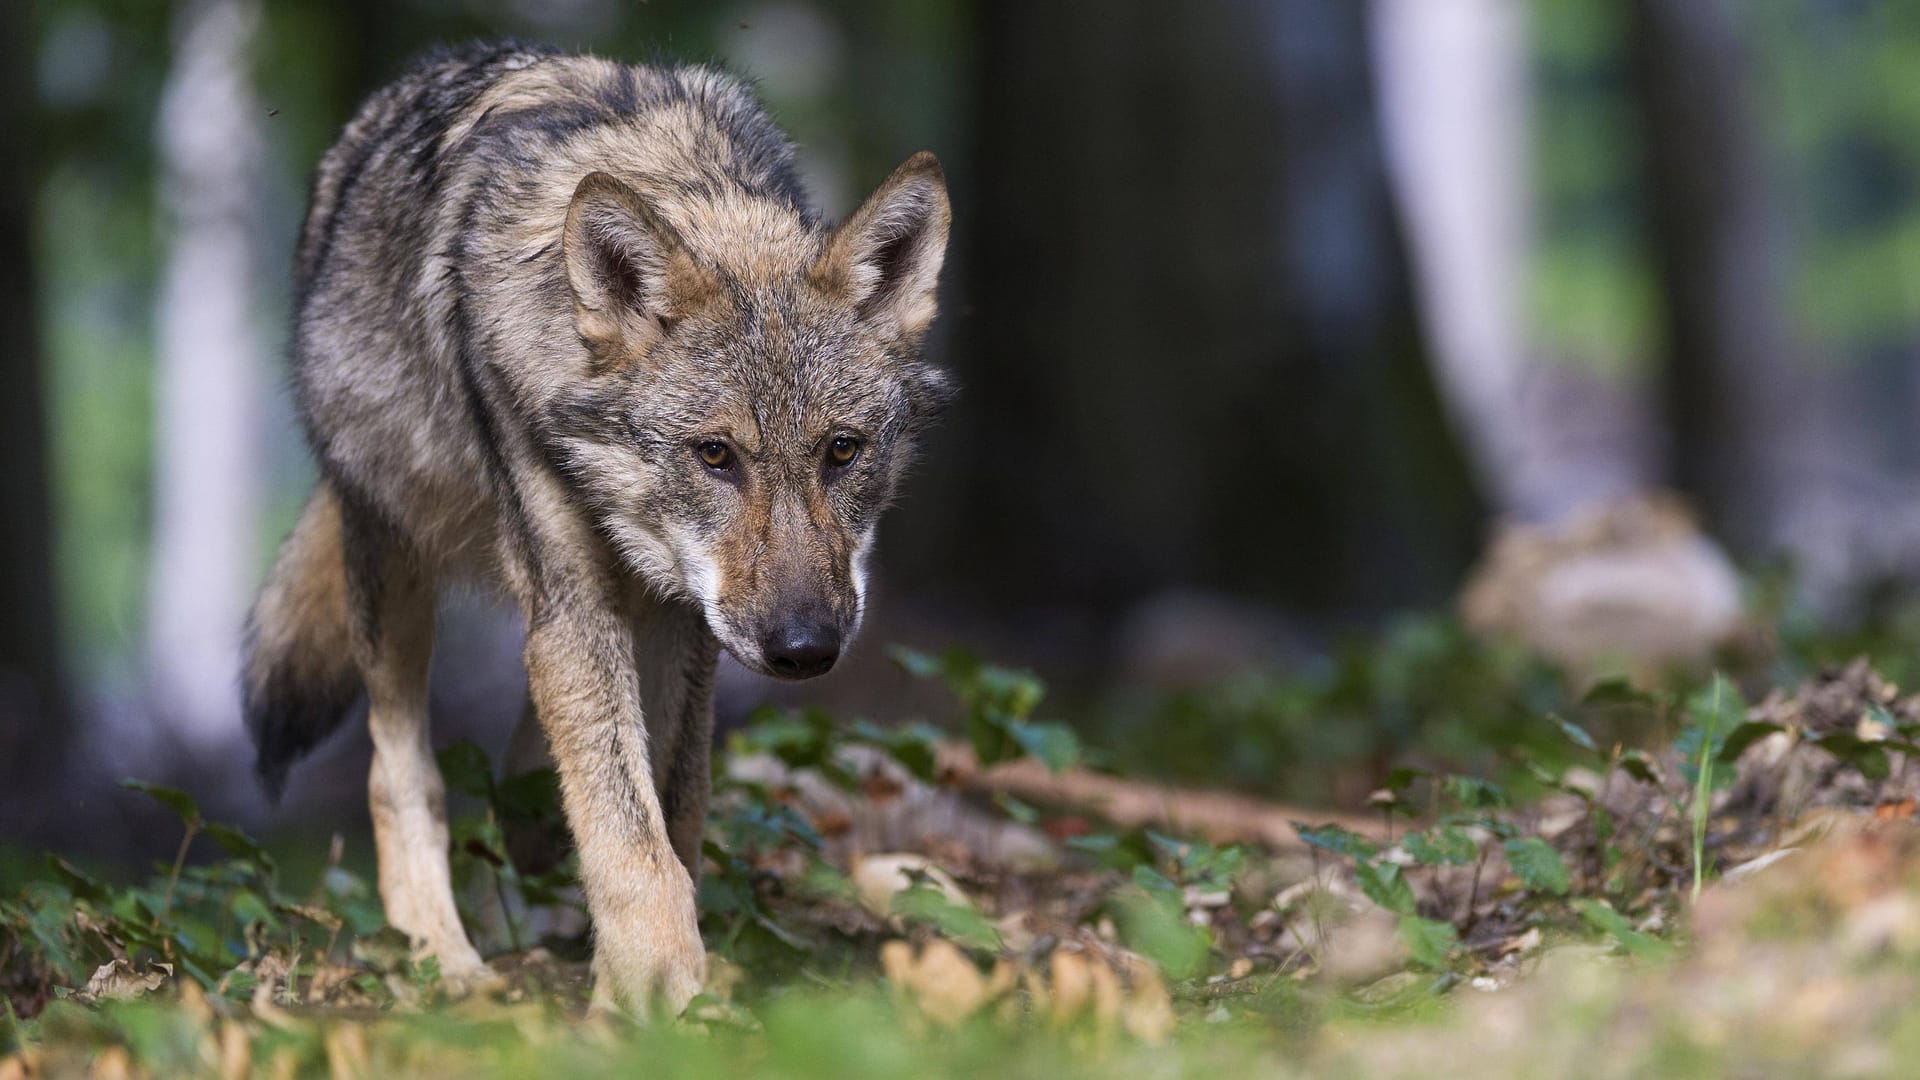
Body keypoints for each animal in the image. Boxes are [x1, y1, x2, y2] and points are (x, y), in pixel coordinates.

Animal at [240, 42, 952, 1014]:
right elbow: (629, 837)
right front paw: (658, 997)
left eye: (842, 451)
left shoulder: (686, 621)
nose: (805, 649)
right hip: (396, 565)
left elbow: (669, 813)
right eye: (715, 455)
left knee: (528, 781)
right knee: (400, 773)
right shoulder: (575, 602)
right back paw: (444, 959)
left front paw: (642, 988)